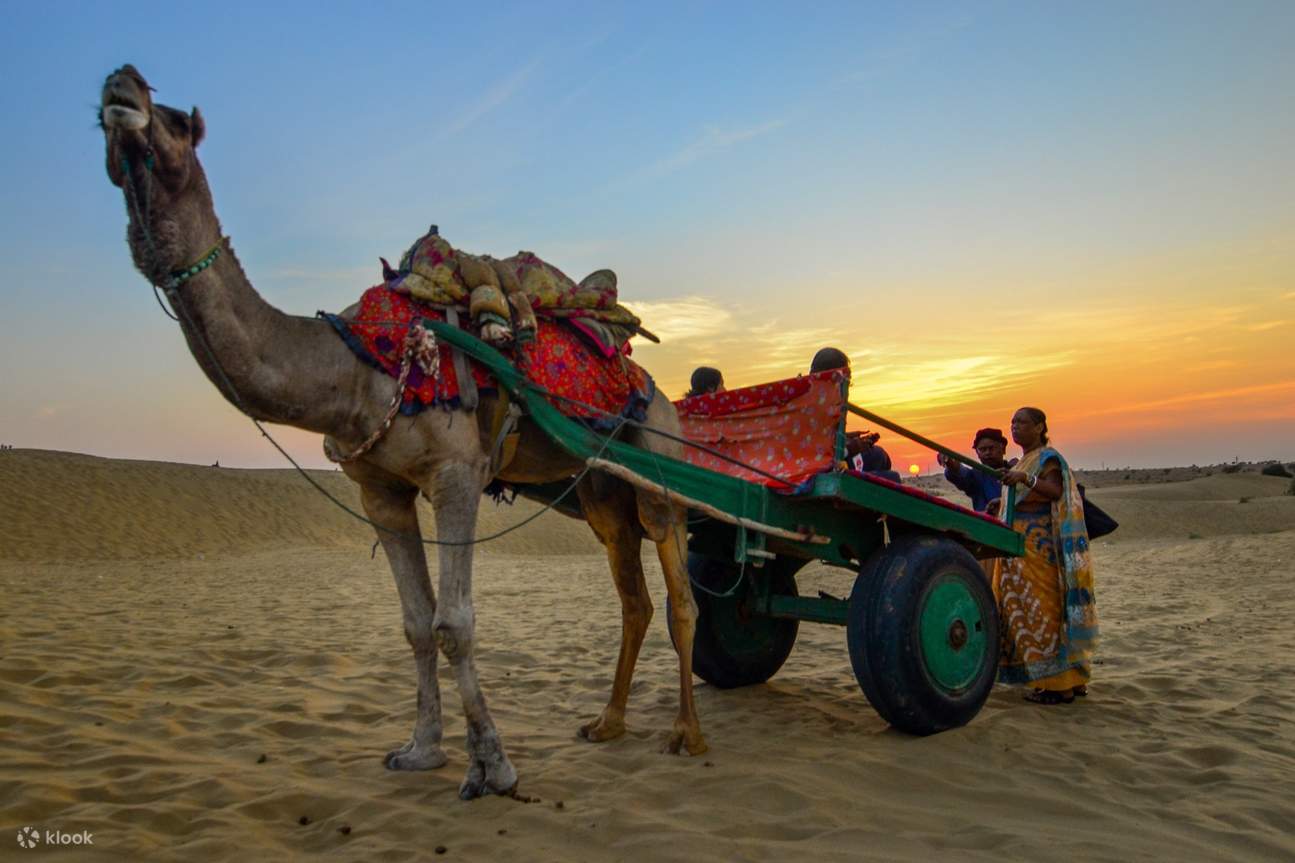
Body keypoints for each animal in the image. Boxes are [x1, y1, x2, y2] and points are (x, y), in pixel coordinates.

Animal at [98, 64, 705, 799]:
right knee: (633, 597)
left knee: (680, 597)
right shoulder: (379, 489)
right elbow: (416, 624)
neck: (355, 368)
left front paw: (492, 765)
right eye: (100, 113)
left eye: (178, 122)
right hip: (599, 491)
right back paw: (608, 723)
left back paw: (687, 734)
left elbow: (455, 623)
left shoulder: (456, 476)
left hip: (658, 460)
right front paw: (420, 749)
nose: (122, 83)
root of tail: (650, 381)